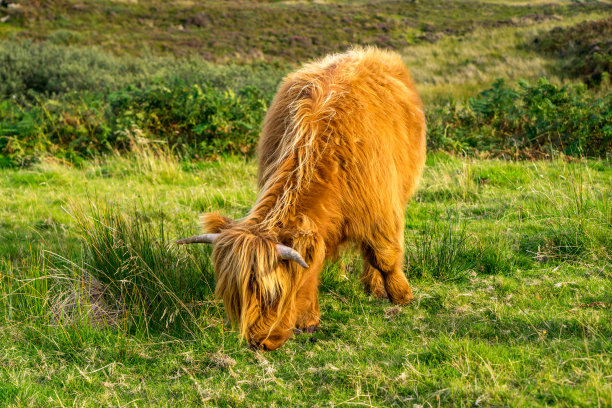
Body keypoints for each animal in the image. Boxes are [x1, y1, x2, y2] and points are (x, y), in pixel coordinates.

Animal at [177, 47, 426, 348]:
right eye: (232, 296)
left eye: (273, 295)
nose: (258, 342)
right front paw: (308, 321)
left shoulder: (380, 208)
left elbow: (384, 257)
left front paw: (402, 296)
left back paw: (376, 287)